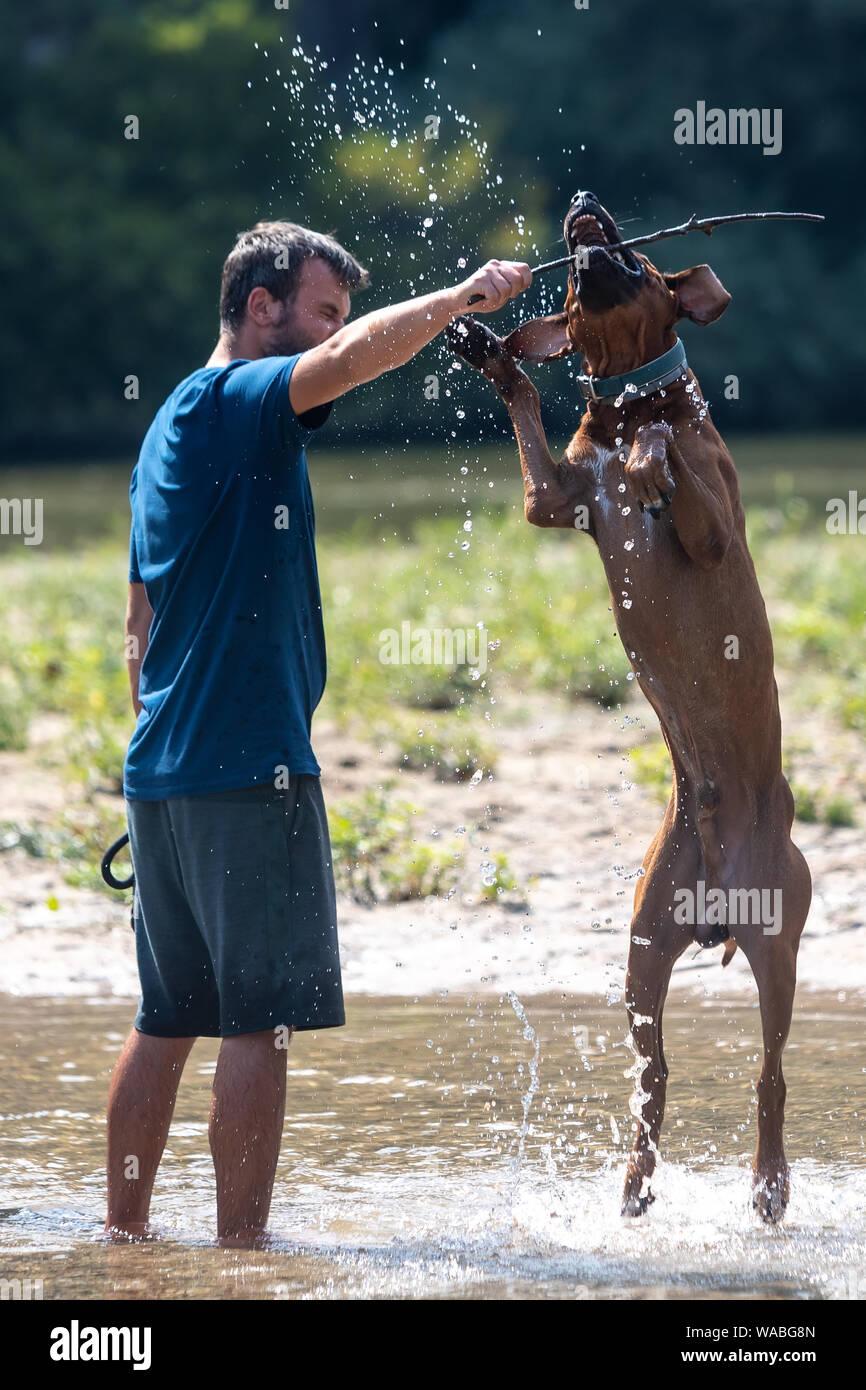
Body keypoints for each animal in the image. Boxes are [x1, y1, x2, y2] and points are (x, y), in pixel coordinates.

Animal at [447, 190, 811, 1223]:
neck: (627, 402)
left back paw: (768, 1185)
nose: (581, 206)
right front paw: (490, 352)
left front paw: (654, 458)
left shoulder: (714, 524)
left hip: (779, 940)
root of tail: (720, 898)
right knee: (654, 1074)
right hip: (646, 946)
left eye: (641, 263)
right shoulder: (553, 498)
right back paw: (636, 1182)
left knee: (770, 1074)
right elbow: (530, 407)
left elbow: (674, 473)